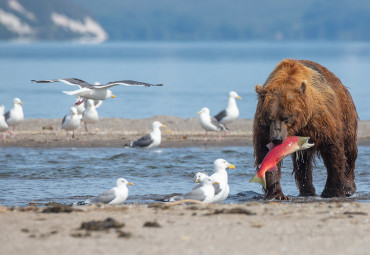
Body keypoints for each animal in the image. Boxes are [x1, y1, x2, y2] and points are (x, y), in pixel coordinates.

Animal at [253, 59, 356, 199]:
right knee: (303, 163)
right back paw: (307, 191)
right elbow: (265, 153)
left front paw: (332, 192)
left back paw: (349, 188)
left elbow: (333, 151)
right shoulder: (263, 129)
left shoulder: (321, 121)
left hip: (346, 114)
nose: (276, 139)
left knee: (349, 149)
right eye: (269, 118)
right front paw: (277, 194)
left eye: (286, 118)